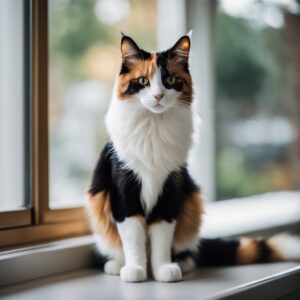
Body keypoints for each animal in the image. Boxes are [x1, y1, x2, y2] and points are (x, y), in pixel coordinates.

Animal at [85, 34, 298, 282]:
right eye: (143, 81)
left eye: (170, 80)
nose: (158, 96)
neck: (153, 128)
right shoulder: (124, 193)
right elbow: (133, 240)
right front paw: (135, 270)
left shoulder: (170, 191)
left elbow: (162, 239)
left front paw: (163, 269)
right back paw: (117, 265)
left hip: (191, 199)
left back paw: (182, 263)